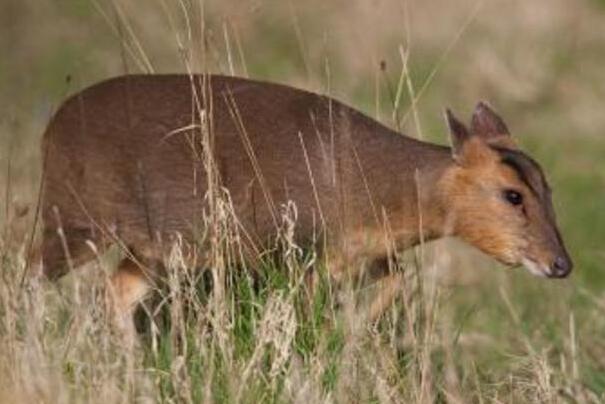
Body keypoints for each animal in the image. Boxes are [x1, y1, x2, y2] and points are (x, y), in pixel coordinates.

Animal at [36, 74, 572, 330]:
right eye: (512, 195)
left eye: (548, 188)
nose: (560, 263)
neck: (375, 187)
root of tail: (51, 127)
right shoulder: (290, 249)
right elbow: (299, 315)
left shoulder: (360, 254)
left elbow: (396, 280)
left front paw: (353, 333)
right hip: (72, 218)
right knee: (30, 278)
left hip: (152, 248)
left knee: (116, 291)